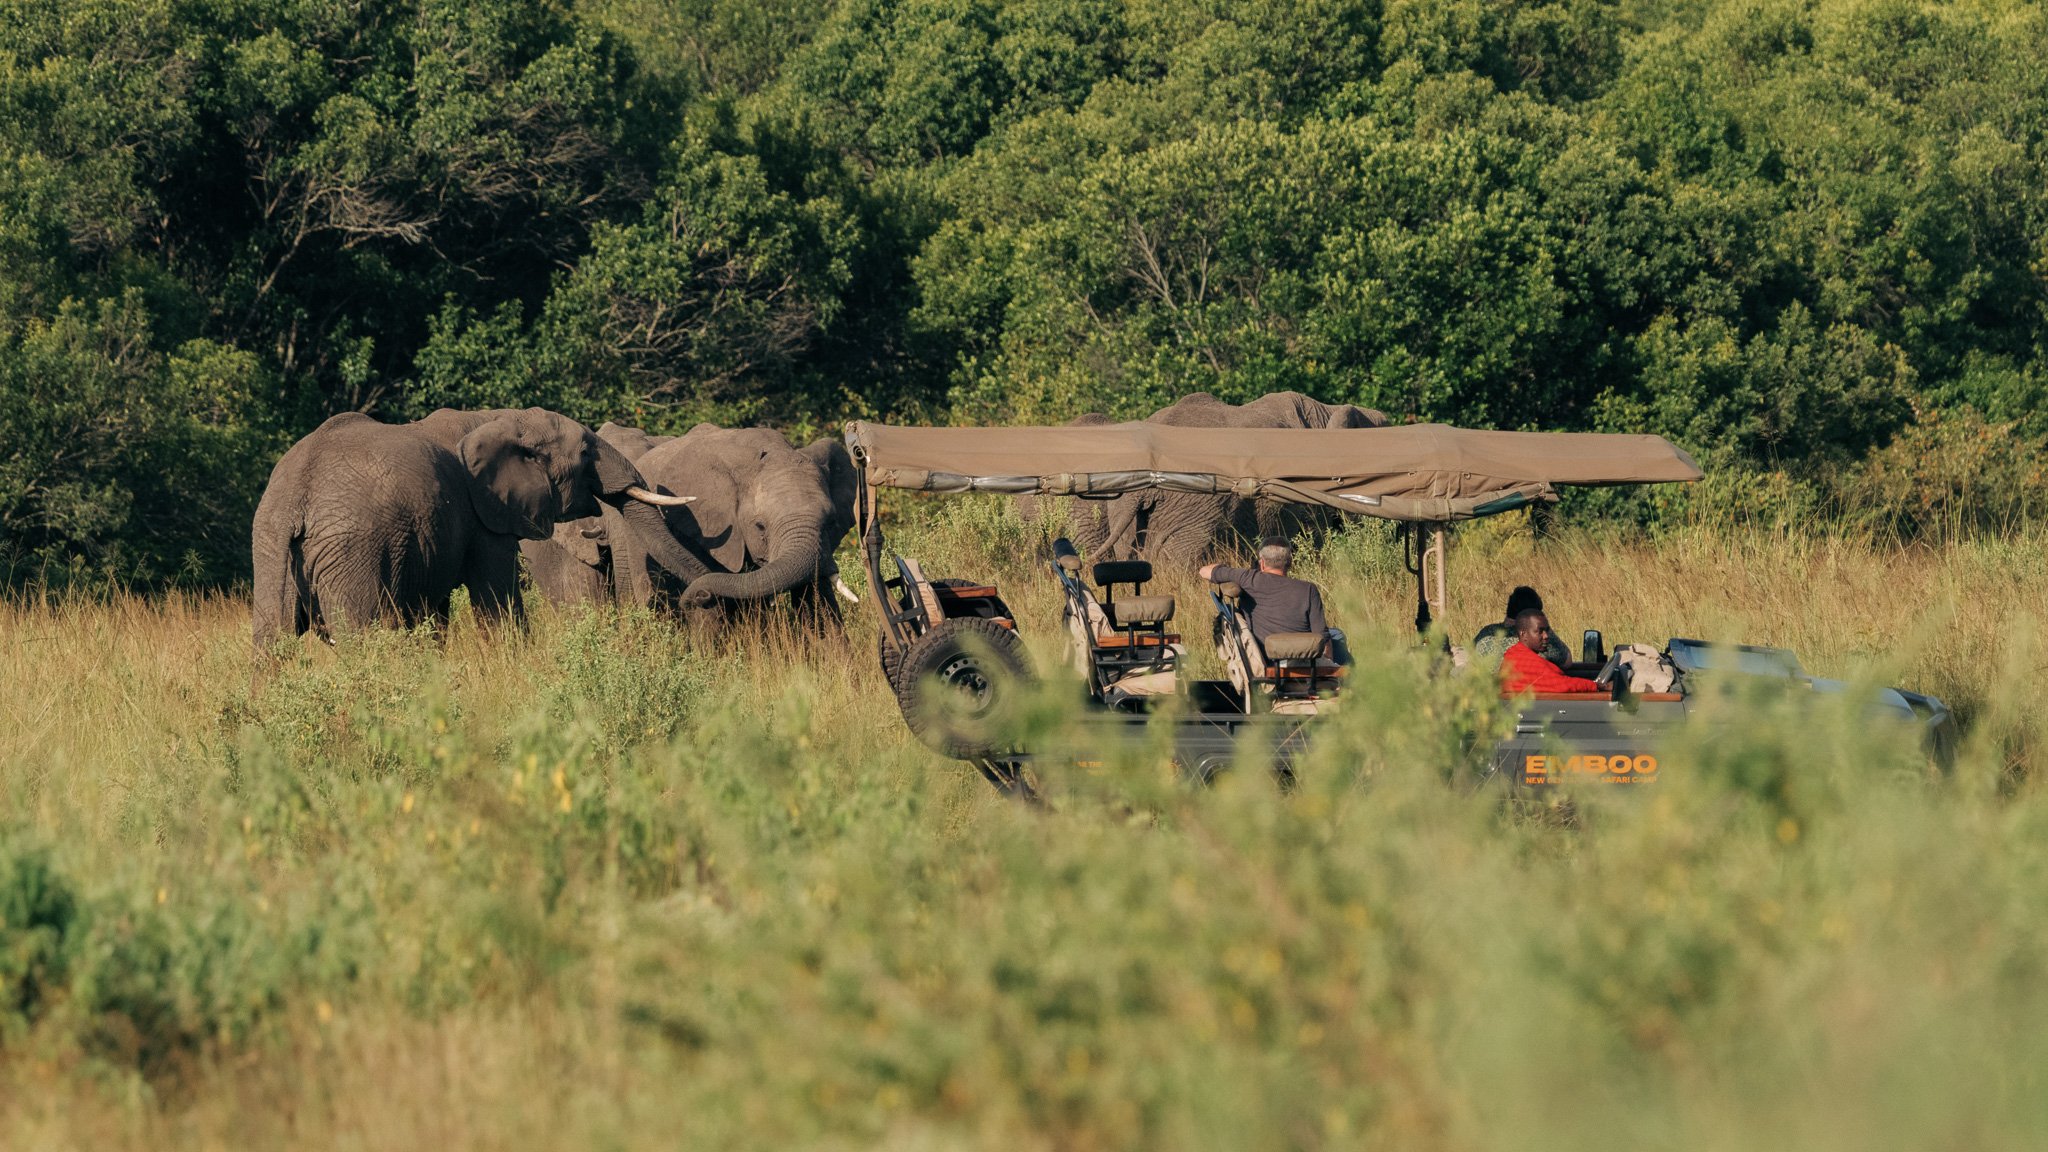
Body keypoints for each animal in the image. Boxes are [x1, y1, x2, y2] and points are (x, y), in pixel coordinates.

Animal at [250, 407, 712, 658]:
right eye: (585, 453)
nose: (704, 596)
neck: (501, 418)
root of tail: (295, 496)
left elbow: (433, 614)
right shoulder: (484, 512)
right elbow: (497, 602)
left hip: (271, 548)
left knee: (269, 642)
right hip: (352, 549)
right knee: (362, 636)